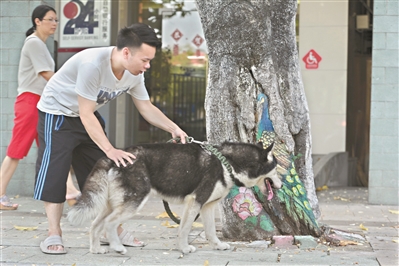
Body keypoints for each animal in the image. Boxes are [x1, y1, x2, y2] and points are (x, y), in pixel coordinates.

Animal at [68, 142, 282, 255]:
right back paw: (117, 247)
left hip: (112, 205)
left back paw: (96, 249)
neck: (227, 163)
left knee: (95, 225)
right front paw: (184, 248)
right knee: (110, 224)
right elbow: (184, 229)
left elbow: (211, 231)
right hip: (133, 203)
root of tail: (112, 157)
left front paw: (217, 246)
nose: (281, 186)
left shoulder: (207, 206)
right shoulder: (195, 202)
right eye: (277, 168)